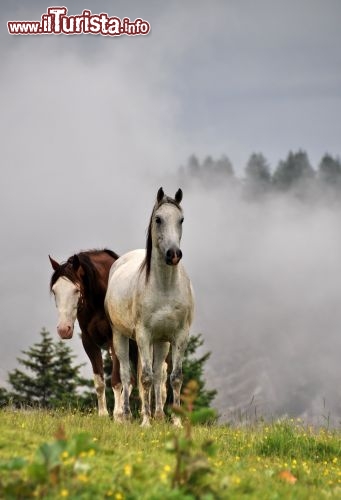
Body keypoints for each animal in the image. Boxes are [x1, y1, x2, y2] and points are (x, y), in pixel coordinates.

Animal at [49, 250, 137, 418]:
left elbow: (116, 380)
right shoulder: (89, 342)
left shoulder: (114, 340)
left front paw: (117, 415)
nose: (63, 329)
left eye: (76, 290)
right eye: (55, 291)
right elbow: (99, 382)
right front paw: (103, 415)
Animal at [103, 188, 194, 426]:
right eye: (158, 219)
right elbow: (144, 377)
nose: (174, 254)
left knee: (159, 375)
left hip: (161, 342)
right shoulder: (143, 335)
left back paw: (159, 415)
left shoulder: (179, 336)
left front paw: (176, 422)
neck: (165, 287)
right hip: (120, 336)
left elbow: (174, 378)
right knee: (126, 374)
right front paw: (145, 422)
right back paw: (125, 416)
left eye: (181, 219)